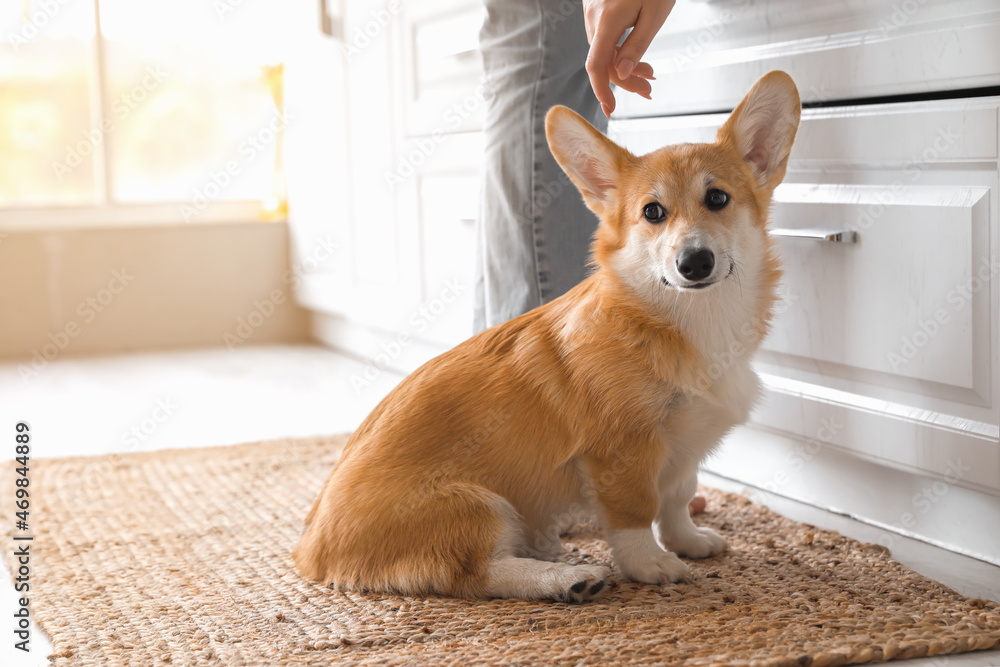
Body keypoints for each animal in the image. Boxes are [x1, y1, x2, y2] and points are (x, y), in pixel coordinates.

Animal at [292, 70, 800, 604]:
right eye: (652, 212)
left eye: (717, 198)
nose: (694, 262)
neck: (687, 319)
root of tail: (310, 550)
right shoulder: (623, 450)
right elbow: (637, 513)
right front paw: (651, 565)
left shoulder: (685, 446)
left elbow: (677, 498)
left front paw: (688, 540)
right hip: (476, 506)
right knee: (476, 574)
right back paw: (566, 578)